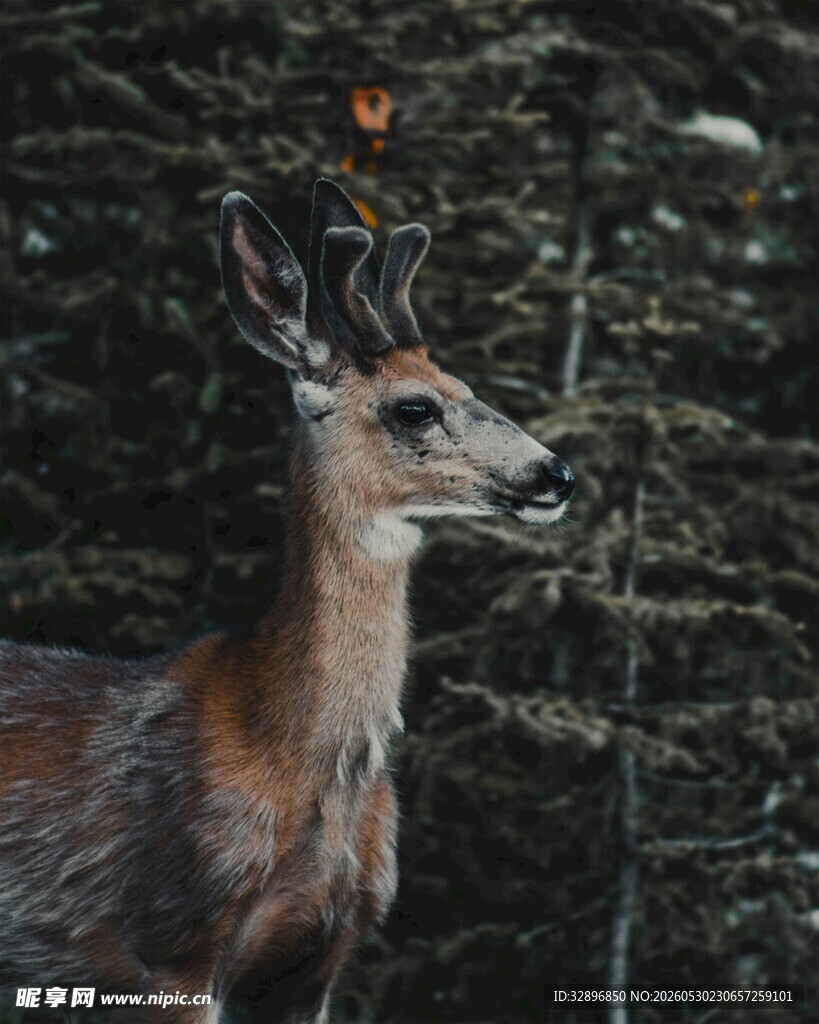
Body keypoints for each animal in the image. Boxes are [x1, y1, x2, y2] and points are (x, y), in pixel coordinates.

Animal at [0, 180, 574, 1023]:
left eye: (469, 389)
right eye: (414, 407)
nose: (554, 474)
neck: (297, 756)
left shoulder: (316, 963)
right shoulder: (174, 942)